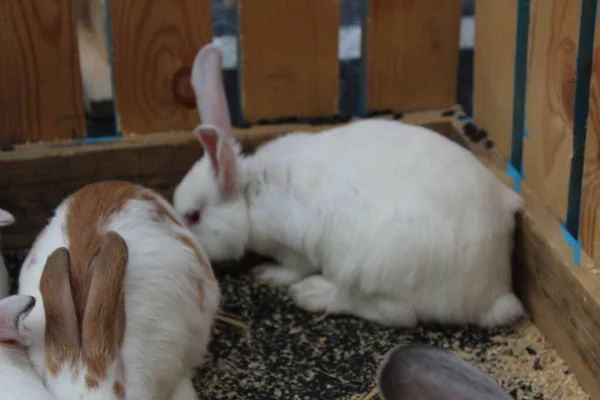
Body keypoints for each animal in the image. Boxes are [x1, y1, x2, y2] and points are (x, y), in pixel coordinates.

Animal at [173, 44, 524, 328]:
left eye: (193, 216)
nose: (192, 251)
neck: (250, 193)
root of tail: (492, 294)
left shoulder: (293, 244)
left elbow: (293, 267)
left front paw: (267, 274)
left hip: (374, 268)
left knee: (396, 315)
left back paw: (313, 293)